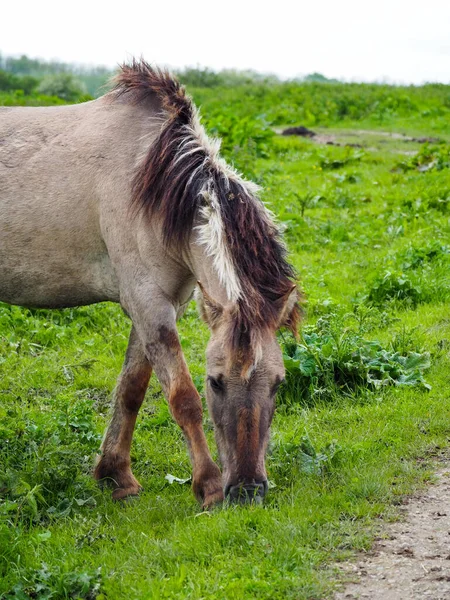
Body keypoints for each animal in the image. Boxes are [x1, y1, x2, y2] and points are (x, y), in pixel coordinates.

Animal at [1, 61, 300, 506]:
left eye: (279, 383)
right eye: (215, 381)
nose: (248, 489)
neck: (150, 181)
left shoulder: (162, 304)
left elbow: (131, 388)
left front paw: (115, 475)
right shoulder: (147, 304)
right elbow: (182, 397)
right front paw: (208, 486)